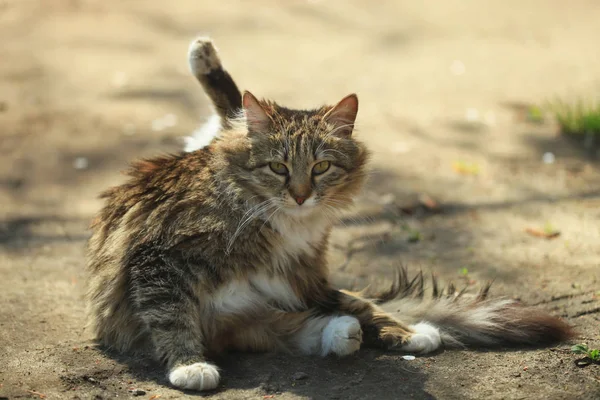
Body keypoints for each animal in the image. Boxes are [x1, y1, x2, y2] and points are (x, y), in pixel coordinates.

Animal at [86, 36, 576, 390]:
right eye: (278, 168)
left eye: (320, 168)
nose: (301, 195)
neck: (281, 220)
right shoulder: (160, 259)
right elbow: (171, 315)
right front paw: (189, 365)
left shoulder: (304, 275)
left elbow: (364, 304)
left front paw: (407, 332)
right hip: (244, 308)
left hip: (280, 295)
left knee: (330, 315)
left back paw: (352, 333)